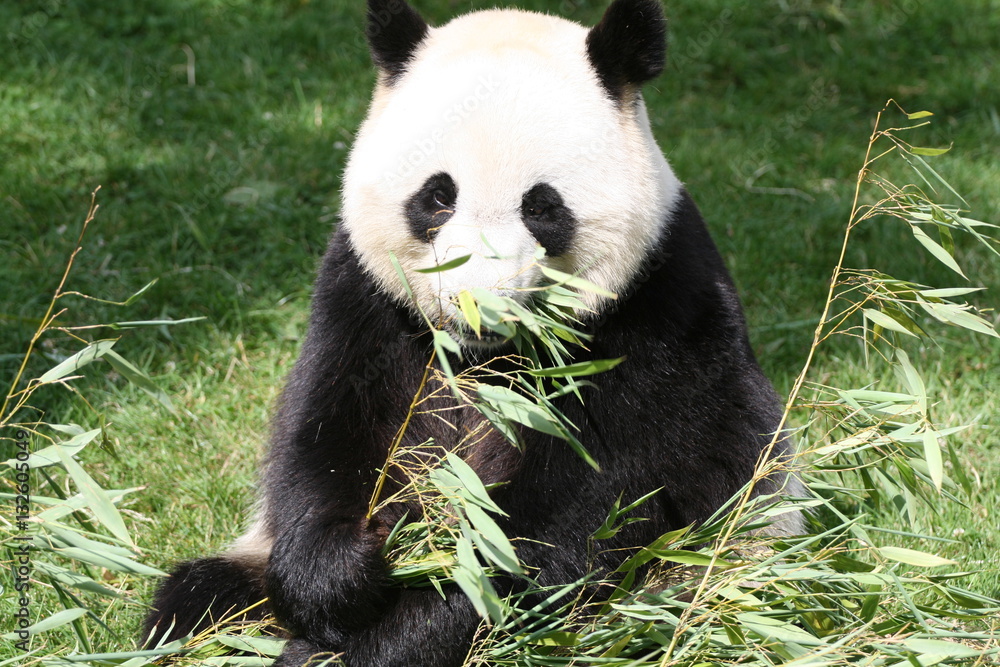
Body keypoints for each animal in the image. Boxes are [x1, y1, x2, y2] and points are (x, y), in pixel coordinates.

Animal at [143, 0, 803, 665]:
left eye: (541, 206)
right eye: (438, 197)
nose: (475, 304)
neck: (481, 357)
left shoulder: (651, 321)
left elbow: (555, 527)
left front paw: (378, 641)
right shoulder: (367, 299)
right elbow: (330, 432)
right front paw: (338, 574)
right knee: (198, 598)